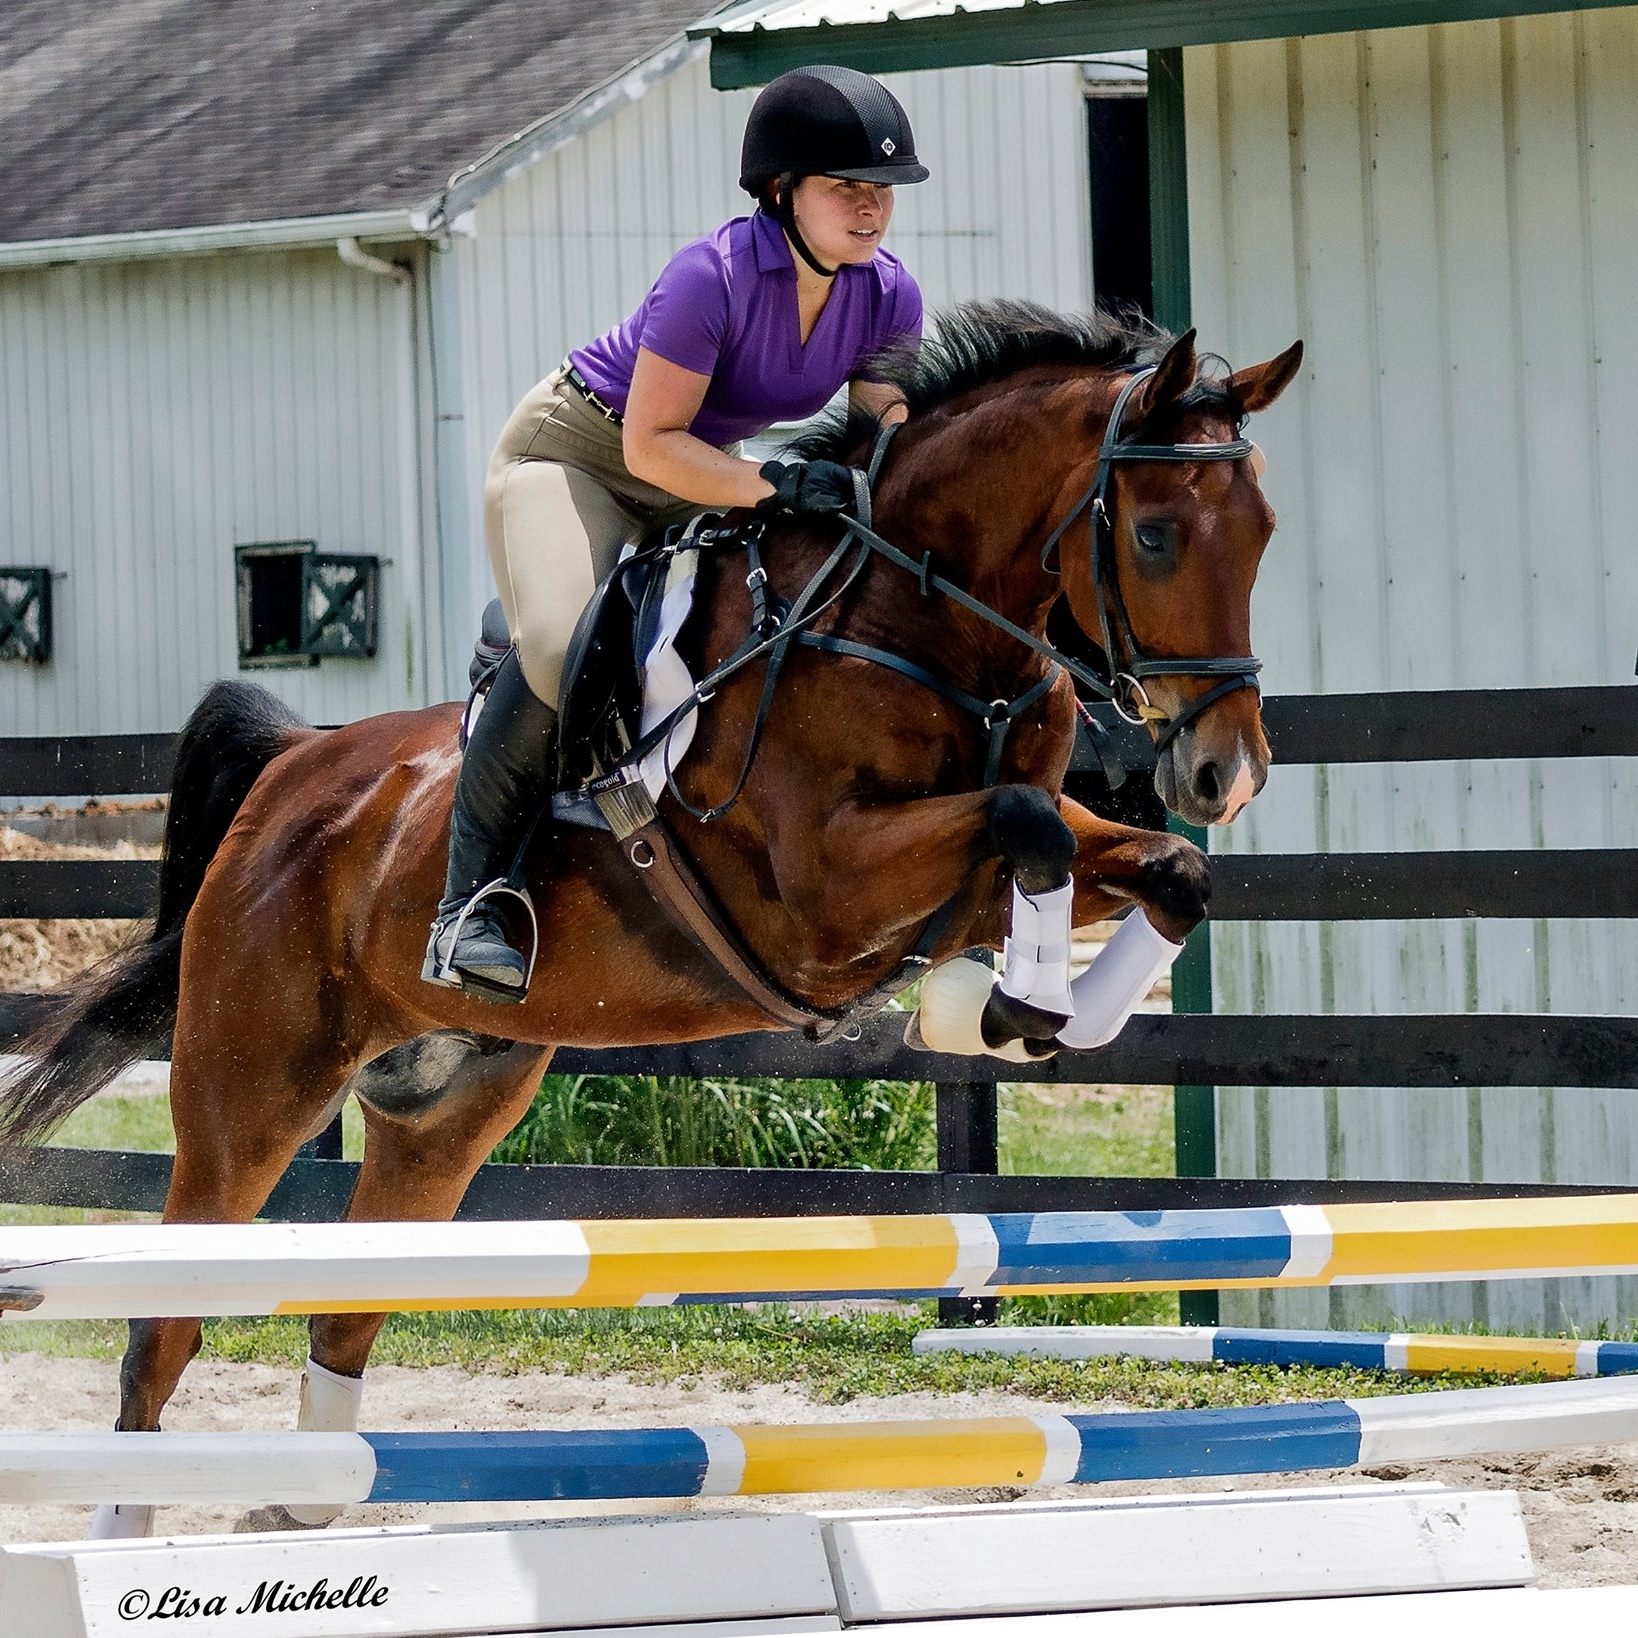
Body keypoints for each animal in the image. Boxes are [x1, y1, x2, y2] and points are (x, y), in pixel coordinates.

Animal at [0, 298, 1303, 1533]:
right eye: (1154, 534)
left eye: (1265, 533)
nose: (1225, 774)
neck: (911, 622)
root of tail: (291, 767)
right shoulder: (823, 894)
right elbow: (1029, 822)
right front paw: (1005, 1005)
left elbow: (1153, 869)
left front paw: (1012, 1007)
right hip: (250, 1086)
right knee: (164, 1324)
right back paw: (129, 1527)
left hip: (446, 1110)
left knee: (344, 1313)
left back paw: (304, 1496)